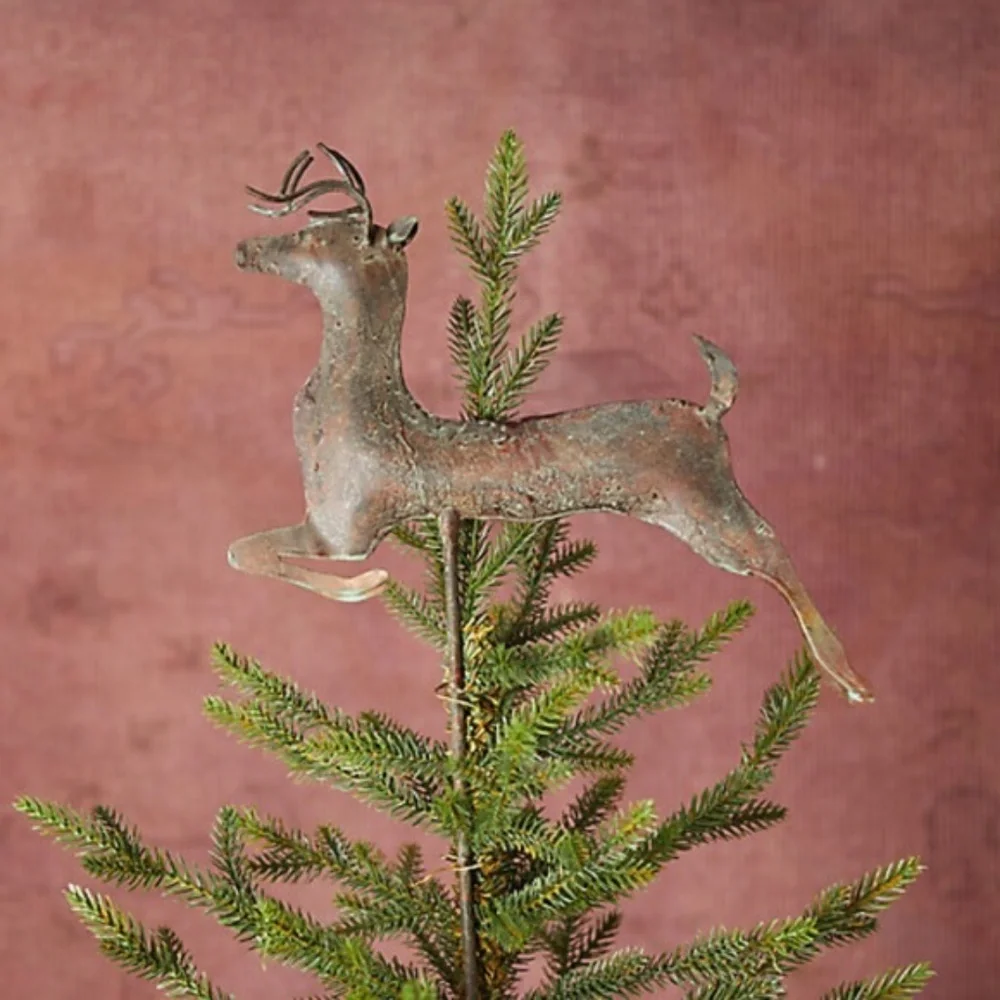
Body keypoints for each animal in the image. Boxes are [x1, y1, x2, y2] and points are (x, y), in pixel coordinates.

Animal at [226, 143, 874, 704]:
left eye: (312, 235)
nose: (244, 249)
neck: (359, 413)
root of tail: (711, 412)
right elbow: (245, 553)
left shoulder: (346, 531)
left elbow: (250, 554)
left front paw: (372, 585)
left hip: (704, 507)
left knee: (774, 549)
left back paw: (849, 678)